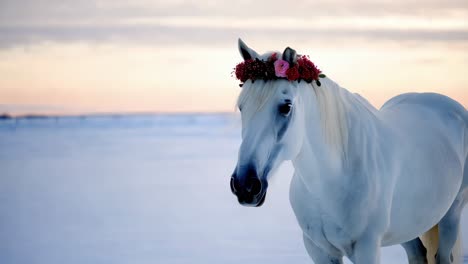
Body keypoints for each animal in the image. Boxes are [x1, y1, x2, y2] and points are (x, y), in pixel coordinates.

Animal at [231, 38, 468, 262]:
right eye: (242, 107)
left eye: (286, 106)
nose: (245, 186)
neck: (332, 181)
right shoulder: (319, 250)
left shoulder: (367, 249)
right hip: (408, 226)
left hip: (451, 215)